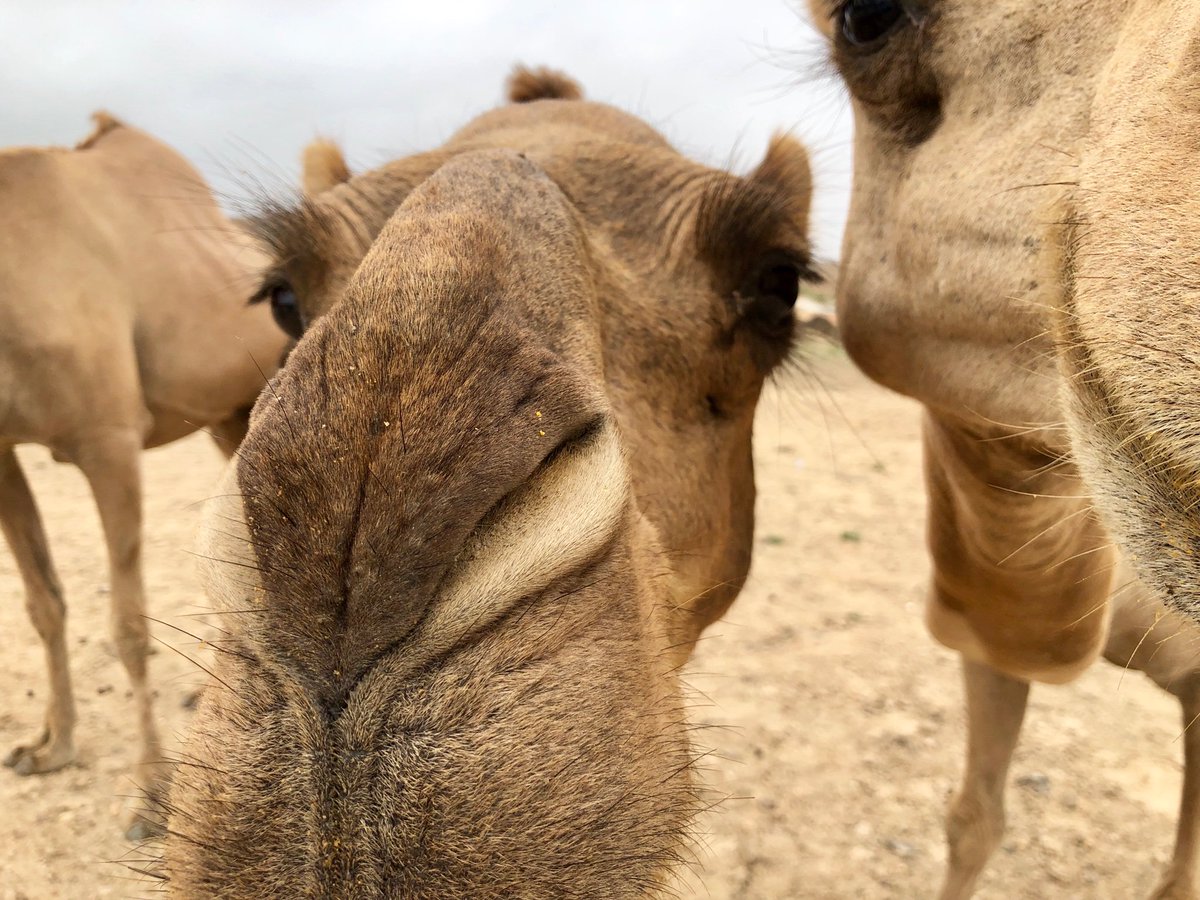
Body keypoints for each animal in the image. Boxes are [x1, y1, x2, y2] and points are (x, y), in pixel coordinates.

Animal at [0, 114, 289, 837]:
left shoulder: (108, 438)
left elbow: (129, 626)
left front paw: (151, 792)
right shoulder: (0, 446)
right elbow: (43, 602)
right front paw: (52, 745)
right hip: (230, 411)